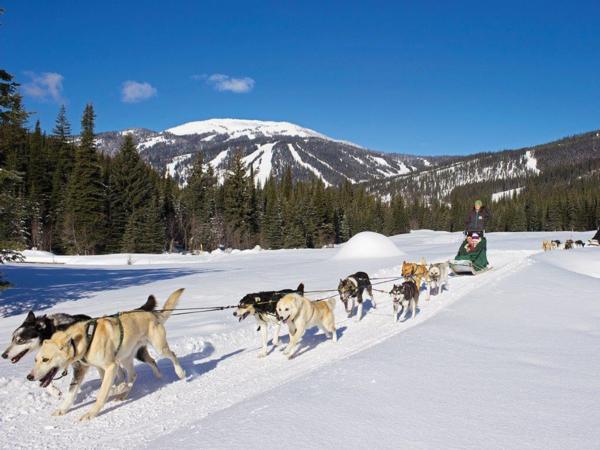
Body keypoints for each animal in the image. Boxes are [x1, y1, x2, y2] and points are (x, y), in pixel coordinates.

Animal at [28, 290, 186, 420]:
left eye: (45, 359)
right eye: (35, 360)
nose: (29, 377)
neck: (85, 338)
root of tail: (150, 313)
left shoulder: (111, 366)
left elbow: (102, 393)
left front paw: (90, 413)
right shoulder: (94, 368)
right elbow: (75, 392)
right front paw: (62, 409)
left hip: (160, 348)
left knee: (172, 355)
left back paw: (180, 373)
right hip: (126, 357)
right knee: (134, 375)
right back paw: (125, 392)